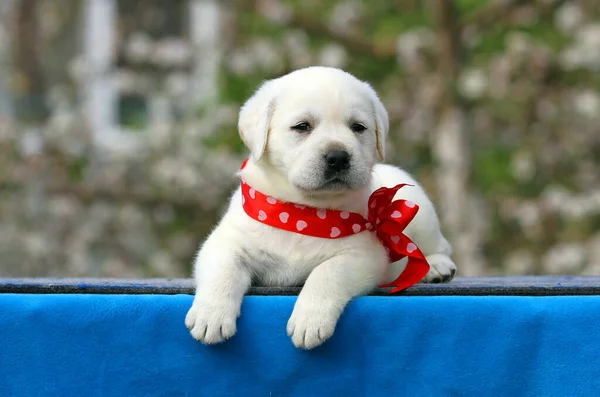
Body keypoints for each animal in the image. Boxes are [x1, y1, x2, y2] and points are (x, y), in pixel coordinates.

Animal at [185, 66, 458, 348]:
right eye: (302, 127)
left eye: (358, 127)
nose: (338, 157)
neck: (304, 212)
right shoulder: (226, 243)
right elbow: (223, 270)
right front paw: (210, 315)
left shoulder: (362, 255)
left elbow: (326, 273)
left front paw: (310, 321)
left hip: (423, 215)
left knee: (439, 246)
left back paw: (436, 266)